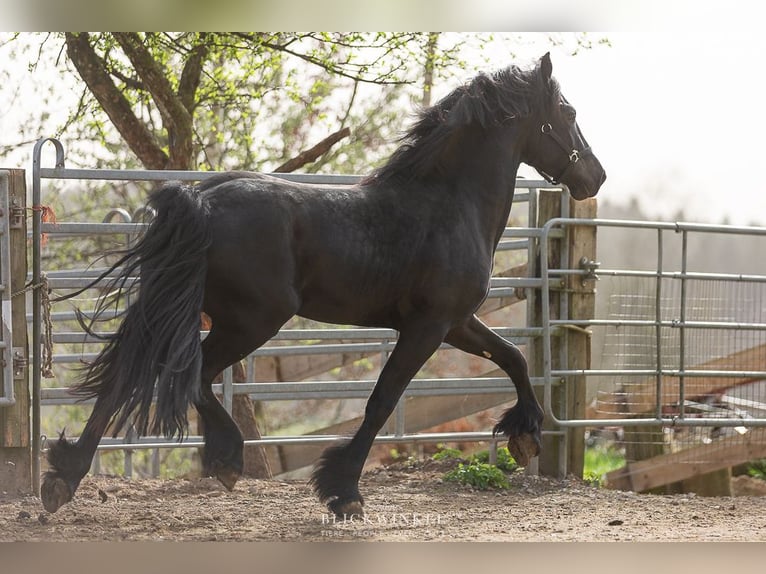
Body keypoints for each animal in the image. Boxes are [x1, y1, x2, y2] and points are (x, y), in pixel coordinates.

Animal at [42, 54, 608, 520]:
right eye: (569, 112)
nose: (596, 177)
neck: (449, 205)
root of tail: (202, 201)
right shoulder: (427, 327)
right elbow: (382, 401)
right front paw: (343, 492)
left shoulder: (457, 322)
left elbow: (513, 356)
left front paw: (526, 435)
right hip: (252, 319)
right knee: (193, 374)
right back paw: (224, 459)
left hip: (186, 310)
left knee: (129, 376)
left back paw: (67, 477)